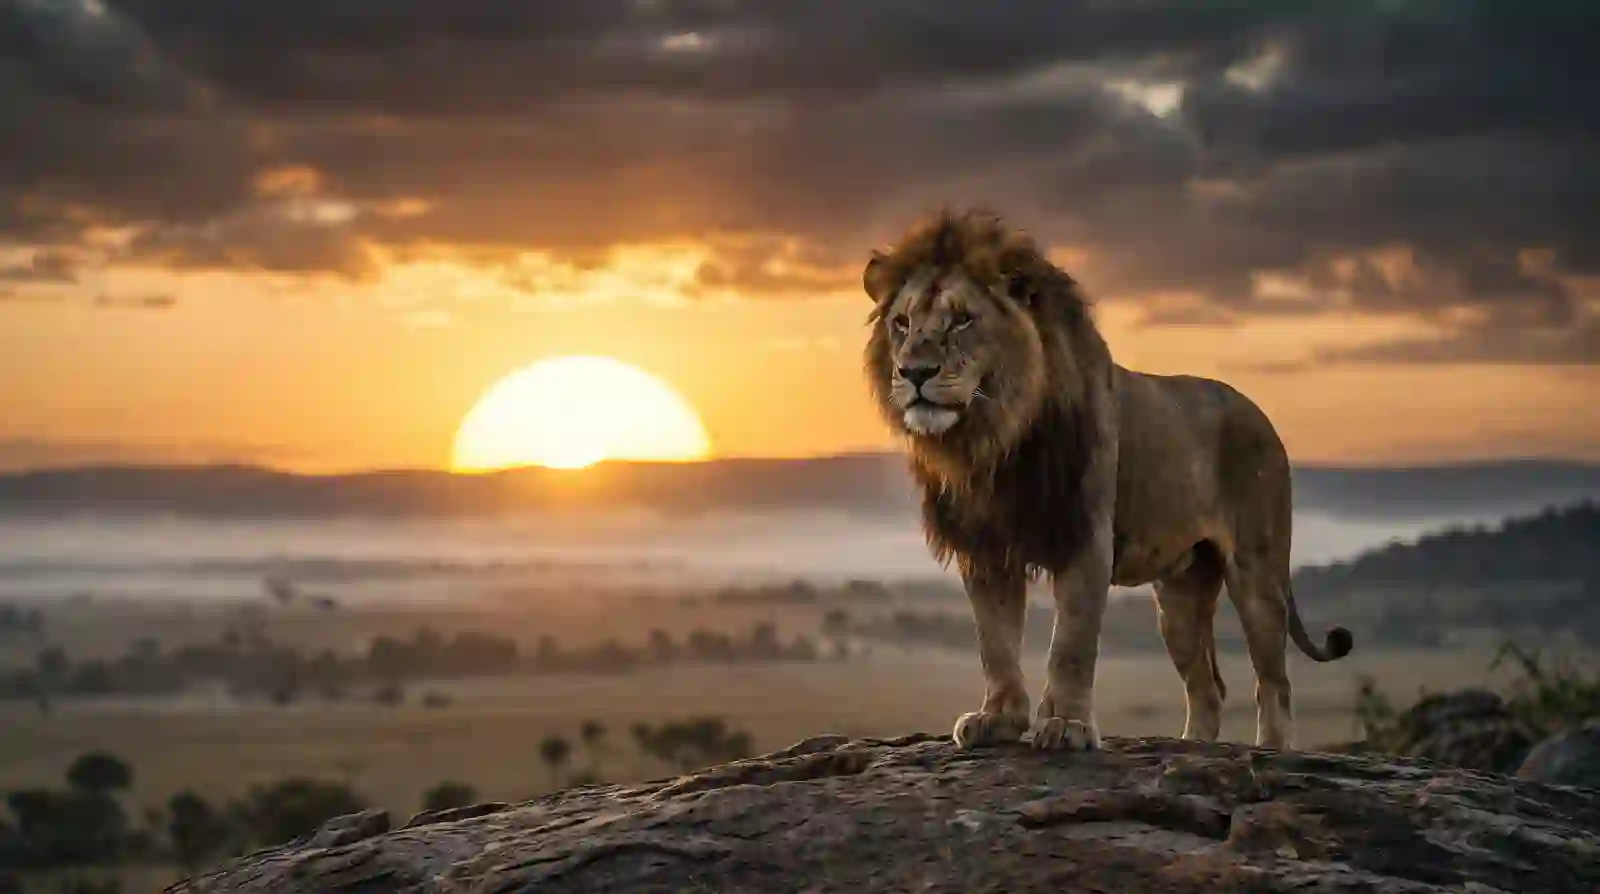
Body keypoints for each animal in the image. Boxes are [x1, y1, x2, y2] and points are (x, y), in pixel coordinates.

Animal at [862, 208, 1352, 752]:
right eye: (901, 323)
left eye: (963, 319)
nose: (913, 372)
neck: (993, 439)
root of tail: (1261, 415)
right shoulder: (986, 548)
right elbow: (995, 642)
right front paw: (999, 719)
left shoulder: (1085, 534)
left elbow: (1071, 643)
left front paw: (1065, 725)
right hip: (1179, 598)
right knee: (1208, 686)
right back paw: (1192, 746)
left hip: (1257, 573)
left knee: (1274, 681)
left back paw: (1270, 749)